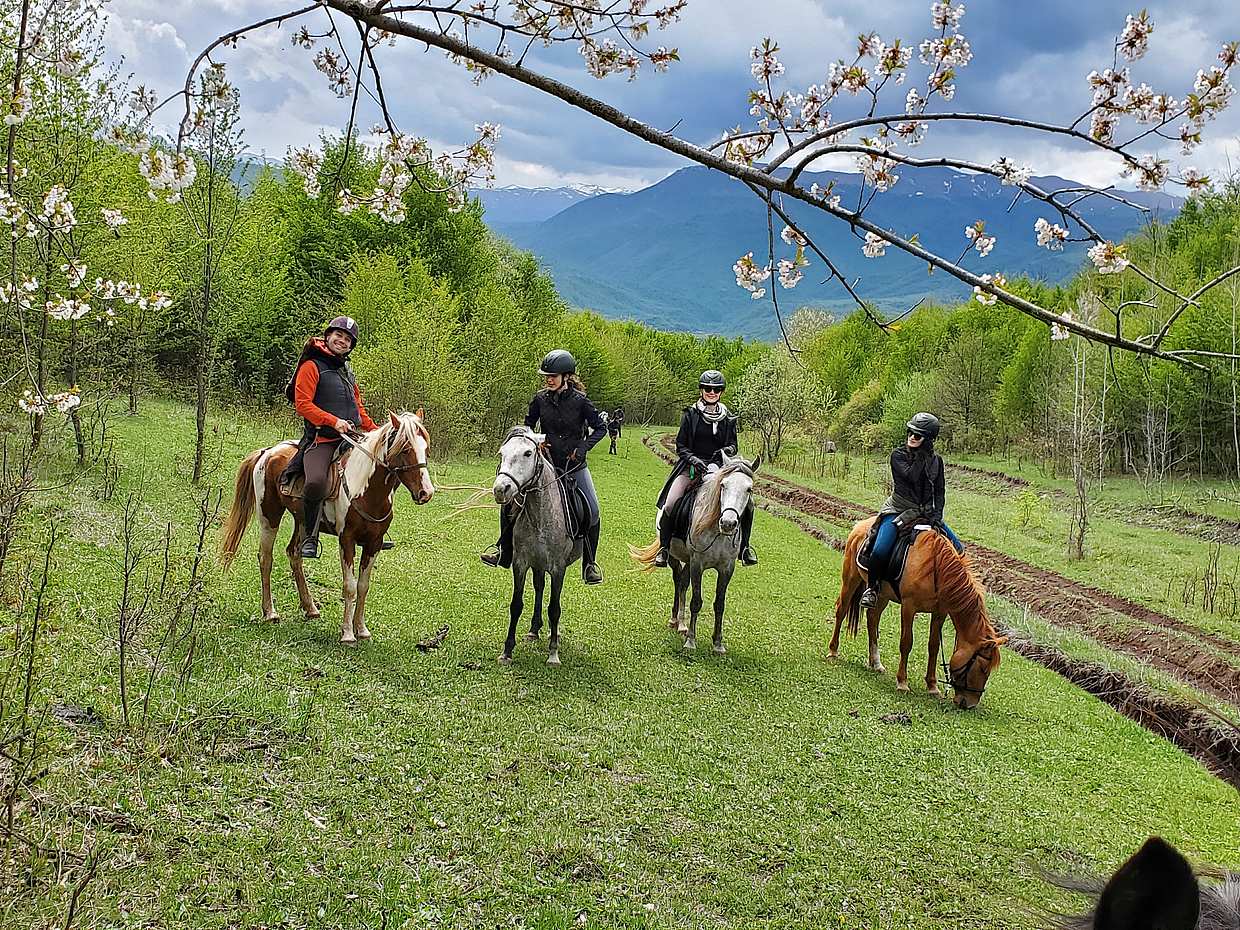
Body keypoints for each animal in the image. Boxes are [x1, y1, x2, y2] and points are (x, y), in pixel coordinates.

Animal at [219, 411, 434, 644]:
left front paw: (362, 630)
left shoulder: (374, 544)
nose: (426, 492)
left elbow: (363, 586)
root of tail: (268, 452)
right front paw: (347, 634)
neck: (364, 488)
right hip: (269, 516)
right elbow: (349, 586)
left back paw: (310, 608)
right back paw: (270, 612)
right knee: (266, 558)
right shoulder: (346, 540)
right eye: (405, 449)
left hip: (302, 521)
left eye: (426, 449)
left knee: (294, 553)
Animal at [492, 426, 581, 667]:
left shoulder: (559, 568)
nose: (501, 489)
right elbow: (516, 605)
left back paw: (552, 633)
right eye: (502, 453)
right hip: (538, 564)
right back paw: (534, 629)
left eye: (528, 453)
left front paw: (553, 654)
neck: (540, 515)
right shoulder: (520, 563)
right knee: (540, 587)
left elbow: (555, 609)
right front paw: (507, 651)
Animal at [631, 454, 759, 654]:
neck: (716, 531)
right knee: (678, 581)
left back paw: (682, 624)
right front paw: (691, 641)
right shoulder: (698, 564)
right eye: (723, 485)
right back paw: (675, 620)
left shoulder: (726, 568)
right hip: (675, 556)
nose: (728, 523)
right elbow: (696, 601)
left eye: (749, 489)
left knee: (683, 583)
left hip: (689, 561)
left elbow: (719, 604)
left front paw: (718, 644)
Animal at [830, 516, 1005, 708]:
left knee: (872, 619)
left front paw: (932, 686)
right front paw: (902, 683)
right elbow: (906, 643)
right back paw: (833, 651)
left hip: (882, 594)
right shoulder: (909, 607)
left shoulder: (940, 612)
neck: (936, 567)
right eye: (983, 668)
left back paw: (876, 663)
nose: (970, 704)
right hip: (851, 578)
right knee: (841, 610)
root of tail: (860, 524)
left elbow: (933, 646)